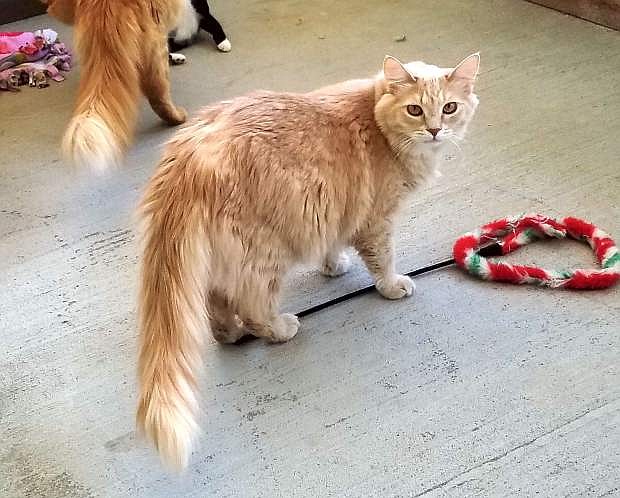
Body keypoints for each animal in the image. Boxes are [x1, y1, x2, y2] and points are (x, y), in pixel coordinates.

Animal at [138, 52, 482, 468]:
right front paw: (391, 285)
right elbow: (382, 258)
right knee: (252, 306)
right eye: (415, 110)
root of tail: (186, 156)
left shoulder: (335, 208)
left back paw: (231, 334)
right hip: (263, 254)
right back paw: (279, 329)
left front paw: (333, 266)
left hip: (227, 257)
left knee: (216, 307)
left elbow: (333, 242)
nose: (434, 130)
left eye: (449, 108)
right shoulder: (376, 219)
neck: (378, 124)